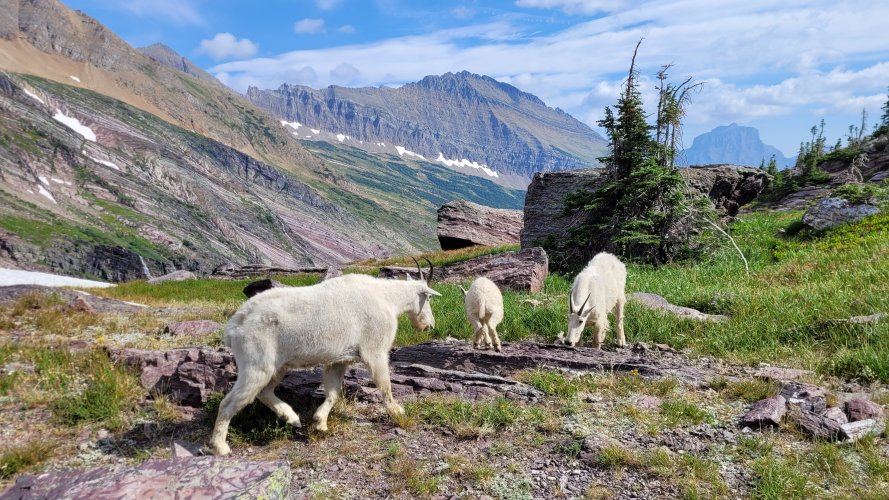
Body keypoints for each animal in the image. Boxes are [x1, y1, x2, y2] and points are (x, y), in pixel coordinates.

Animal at [209, 260, 439, 456]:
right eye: (428, 297)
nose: (429, 325)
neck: (387, 298)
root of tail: (234, 326)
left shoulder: (339, 360)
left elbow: (333, 392)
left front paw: (320, 423)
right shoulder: (375, 351)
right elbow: (384, 385)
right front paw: (398, 411)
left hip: (277, 365)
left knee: (265, 391)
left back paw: (292, 418)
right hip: (256, 362)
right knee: (229, 402)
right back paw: (220, 446)